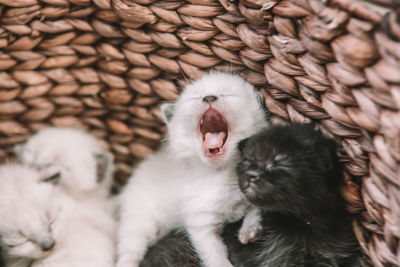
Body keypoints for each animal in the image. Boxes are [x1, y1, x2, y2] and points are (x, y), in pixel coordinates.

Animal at [116, 73, 268, 267]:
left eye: (227, 94)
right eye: (196, 97)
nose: (209, 97)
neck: (222, 173)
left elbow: (256, 206)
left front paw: (249, 228)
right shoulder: (201, 224)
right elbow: (215, 258)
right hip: (139, 219)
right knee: (129, 251)